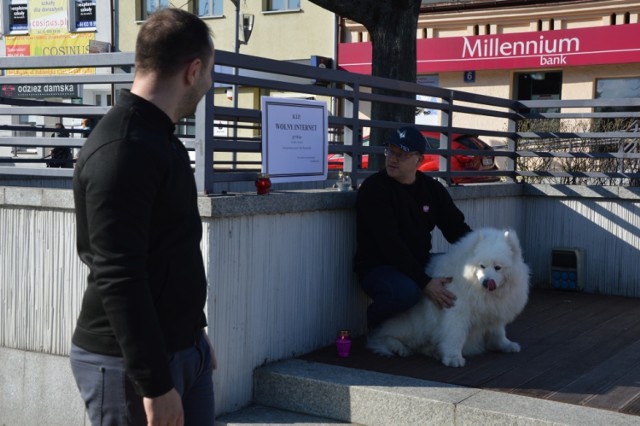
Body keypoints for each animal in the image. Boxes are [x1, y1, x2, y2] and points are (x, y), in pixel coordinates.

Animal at [364, 228, 528, 368]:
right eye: (482, 266)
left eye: (497, 267)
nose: (487, 282)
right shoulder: (457, 312)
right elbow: (455, 335)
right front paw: (453, 358)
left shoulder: (493, 312)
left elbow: (498, 332)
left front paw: (506, 345)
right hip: (412, 326)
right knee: (382, 336)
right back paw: (398, 347)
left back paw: (433, 351)